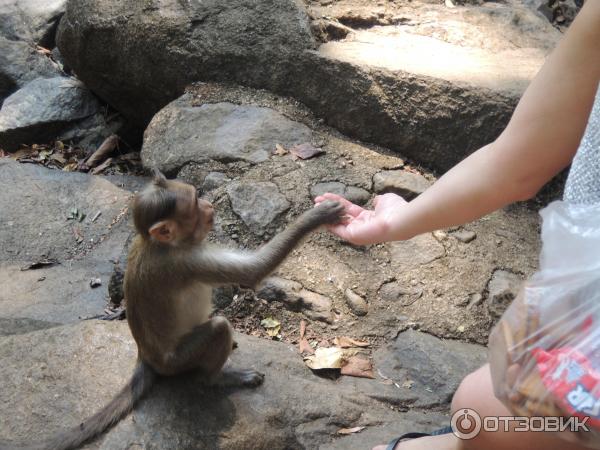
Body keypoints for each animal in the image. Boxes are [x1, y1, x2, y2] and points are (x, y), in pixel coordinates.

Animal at [9, 171, 344, 448]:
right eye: (195, 203)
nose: (209, 206)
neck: (157, 244)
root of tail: (146, 357)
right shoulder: (187, 261)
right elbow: (252, 272)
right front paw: (319, 215)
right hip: (177, 362)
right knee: (218, 329)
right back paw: (219, 378)